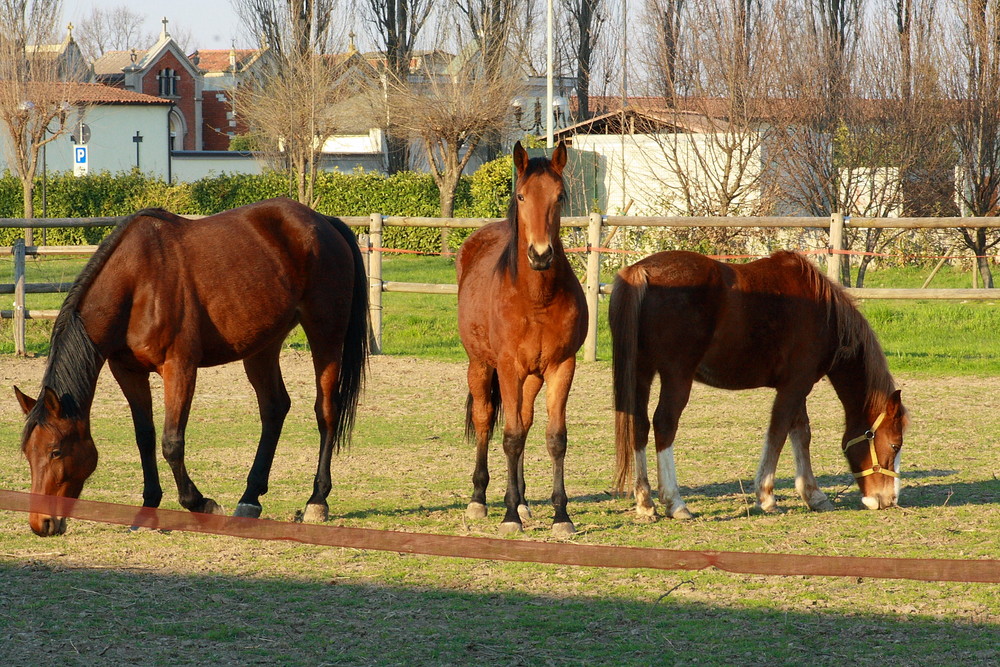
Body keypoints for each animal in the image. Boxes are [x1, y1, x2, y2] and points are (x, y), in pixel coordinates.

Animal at [13, 198, 368, 536]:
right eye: (28, 453)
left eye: (56, 451)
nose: (41, 523)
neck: (137, 282)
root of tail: (324, 222)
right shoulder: (127, 371)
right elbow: (145, 437)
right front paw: (147, 510)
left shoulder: (179, 367)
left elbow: (171, 442)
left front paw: (200, 503)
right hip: (263, 345)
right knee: (274, 408)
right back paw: (250, 499)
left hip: (325, 333)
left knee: (326, 410)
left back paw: (316, 500)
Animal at [458, 141, 588, 536]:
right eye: (521, 195)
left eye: (560, 196)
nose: (541, 254)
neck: (535, 299)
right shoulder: (508, 367)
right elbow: (510, 437)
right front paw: (509, 517)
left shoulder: (562, 366)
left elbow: (555, 437)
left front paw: (560, 515)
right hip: (480, 366)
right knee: (486, 420)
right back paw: (480, 499)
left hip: (532, 377)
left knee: (526, 421)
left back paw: (523, 501)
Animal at [612, 250, 912, 516]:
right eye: (894, 445)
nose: (889, 499)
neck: (824, 313)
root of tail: (641, 270)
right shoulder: (795, 385)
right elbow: (778, 433)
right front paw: (766, 497)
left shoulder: (797, 387)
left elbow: (801, 434)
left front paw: (813, 495)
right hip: (677, 375)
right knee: (664, 424)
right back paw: (675, 502)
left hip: (641, 372)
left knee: (638, 424)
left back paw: (645, 502)